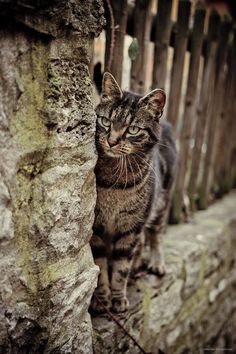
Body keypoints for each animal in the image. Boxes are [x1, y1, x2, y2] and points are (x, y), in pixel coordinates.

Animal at [90, 72, 177, 312]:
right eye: (105, 121)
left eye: (133, 129)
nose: (111, 141)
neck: (116, 181)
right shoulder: (97, 228)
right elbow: (101, 265)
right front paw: (102, 298)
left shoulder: (131, 229)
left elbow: (121, 268)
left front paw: (118, 298)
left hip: (161, 204)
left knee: (156, 235)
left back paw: (156, 263)